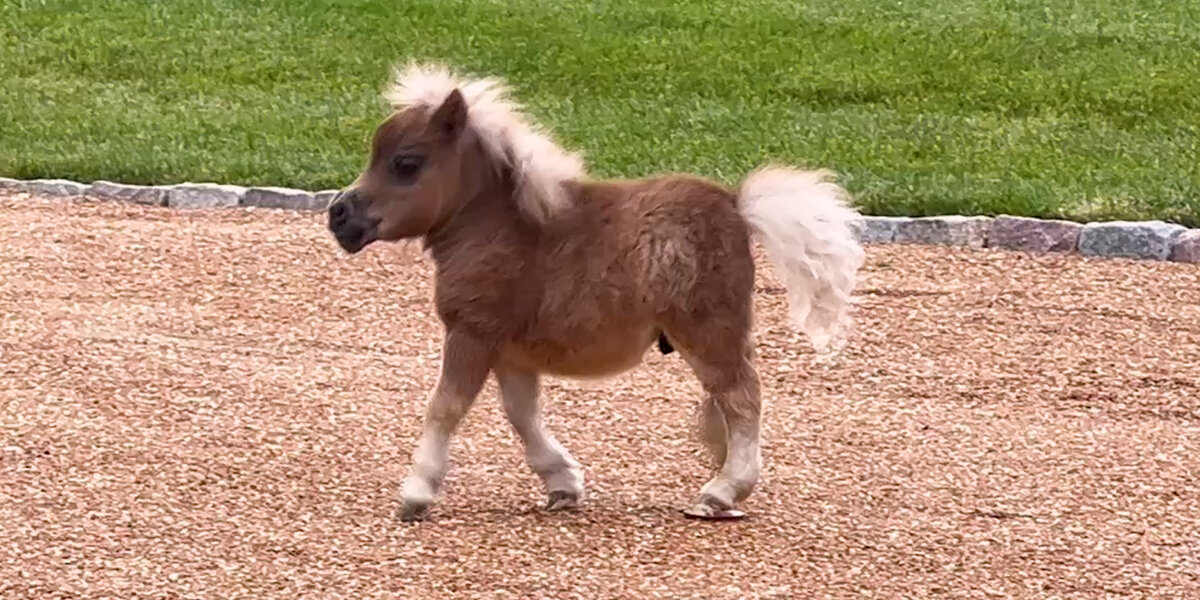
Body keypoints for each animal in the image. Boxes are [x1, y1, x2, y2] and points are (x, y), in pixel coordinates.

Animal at [325, 62, 865, 521]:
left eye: (406, 163)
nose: (339, 215)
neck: (499, 228)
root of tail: (737, 206)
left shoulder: (472, 334)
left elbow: (446, 407)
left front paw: (416, 493)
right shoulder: (510, 351)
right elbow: (522, 415)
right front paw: (562, 483)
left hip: (708, 333)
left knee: (743, 398)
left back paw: (721, 492)